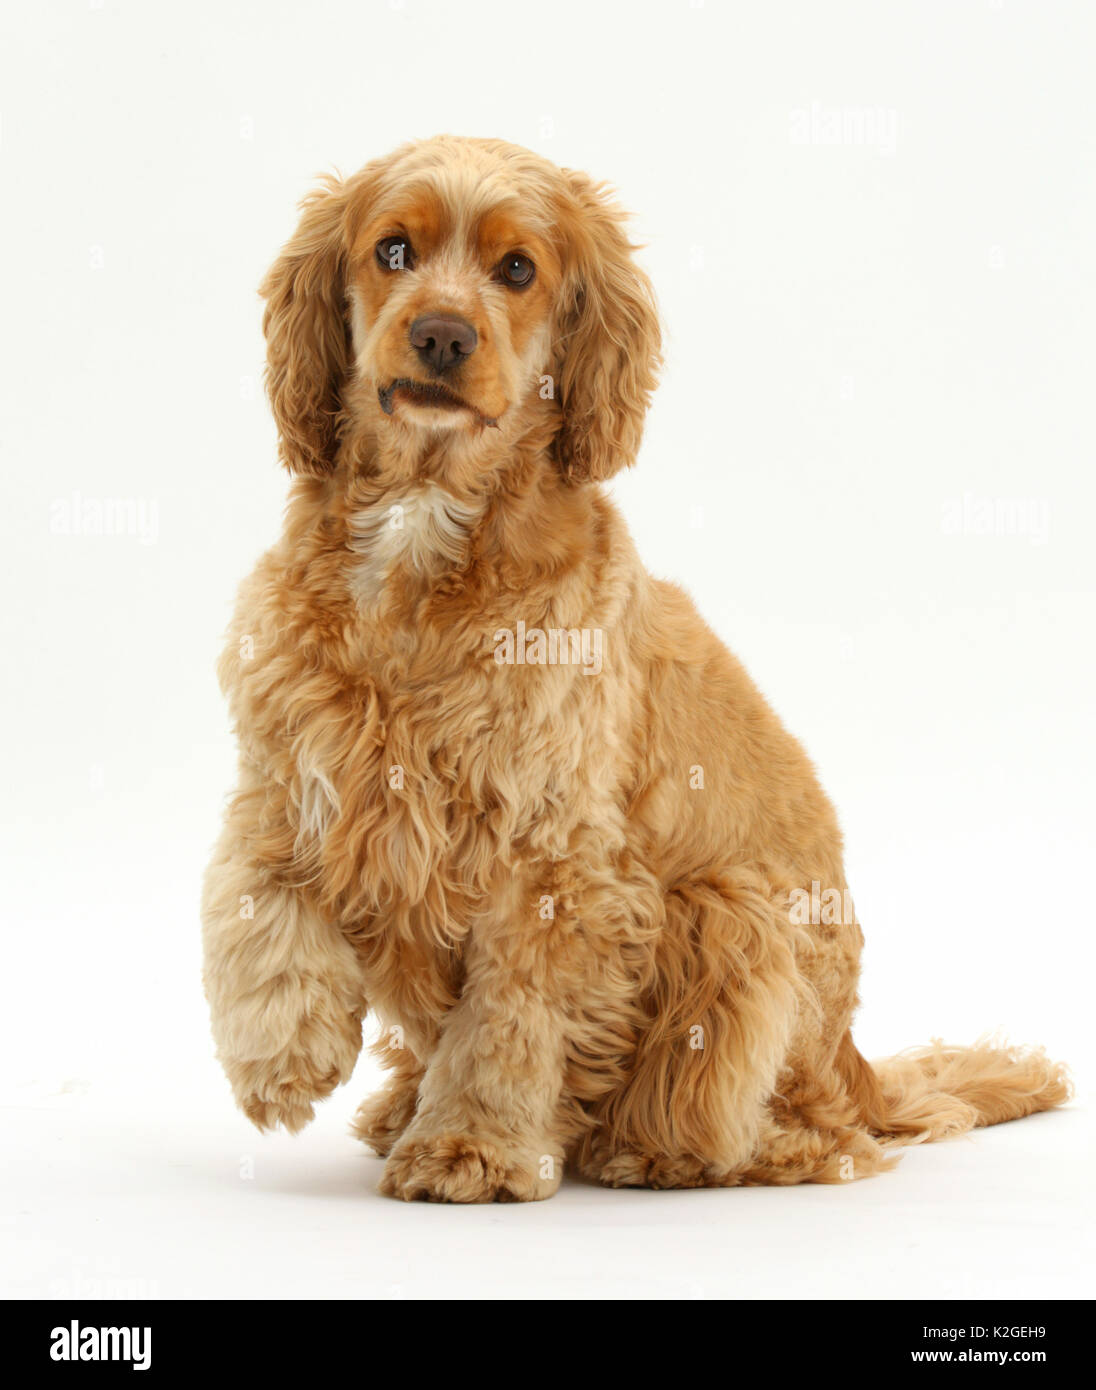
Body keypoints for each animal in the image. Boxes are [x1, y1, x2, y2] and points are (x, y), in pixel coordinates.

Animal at [198, 141, 1068, 1200]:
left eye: (517, 269)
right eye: (392, 249)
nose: (441, 334)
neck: (421, 541)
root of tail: (856, 1063)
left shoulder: (554, 858)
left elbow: (509, 1022)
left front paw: (474, 1145)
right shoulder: (292, 771)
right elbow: (254, 905)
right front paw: (284, 1056)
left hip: (731, 916)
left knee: (811, 1133)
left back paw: (660, 1150)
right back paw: (403, 1103)